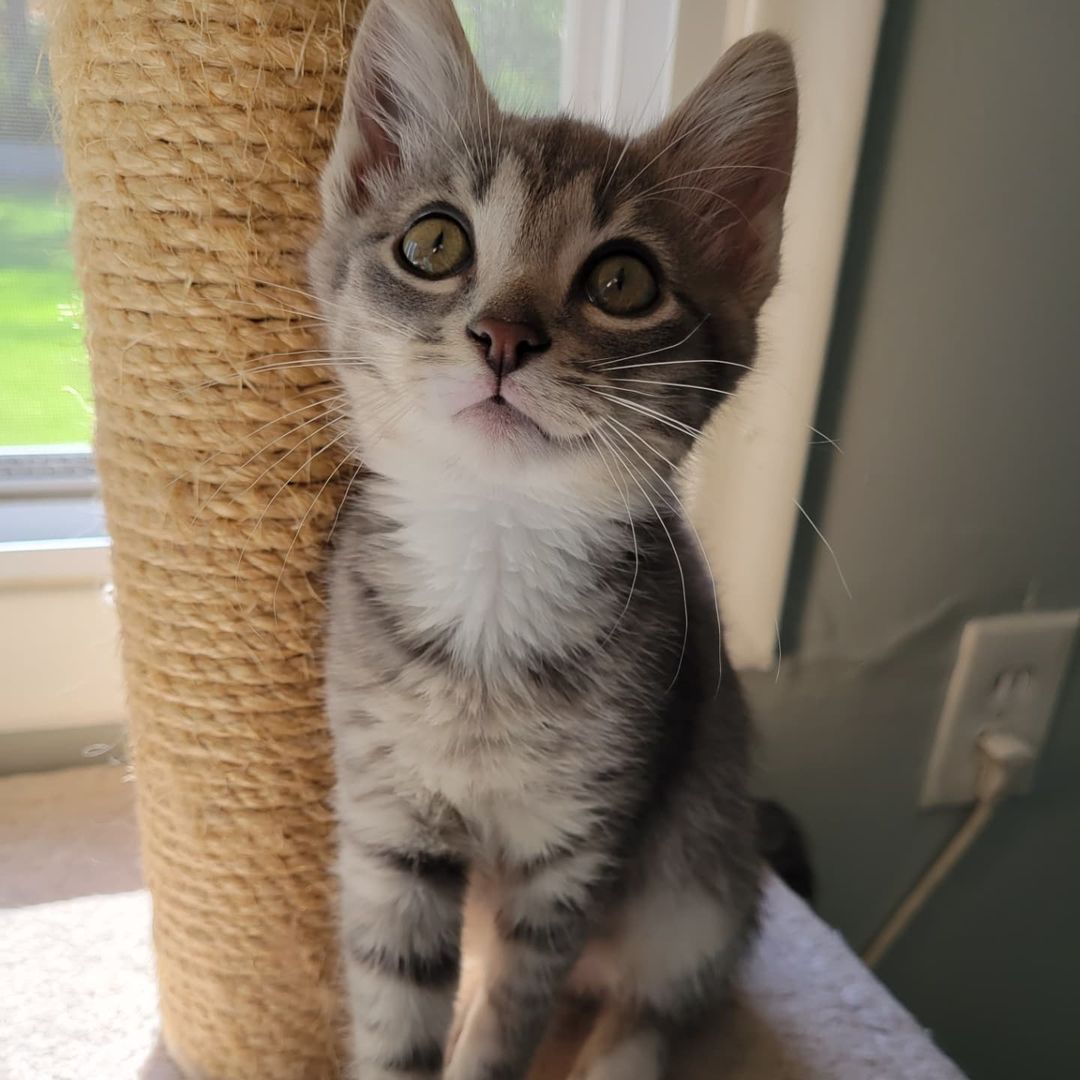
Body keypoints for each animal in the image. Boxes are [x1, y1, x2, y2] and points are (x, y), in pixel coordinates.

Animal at [308, 2, 799, 1080]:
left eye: (622, 280)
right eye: (434, 242)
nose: (502, 336)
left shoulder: (573, 849)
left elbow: (510, 1023)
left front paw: (489, 1045)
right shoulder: (389, 824)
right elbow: (397, 1007)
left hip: (698, 876)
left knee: (658, 995)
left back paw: (619, 1054)